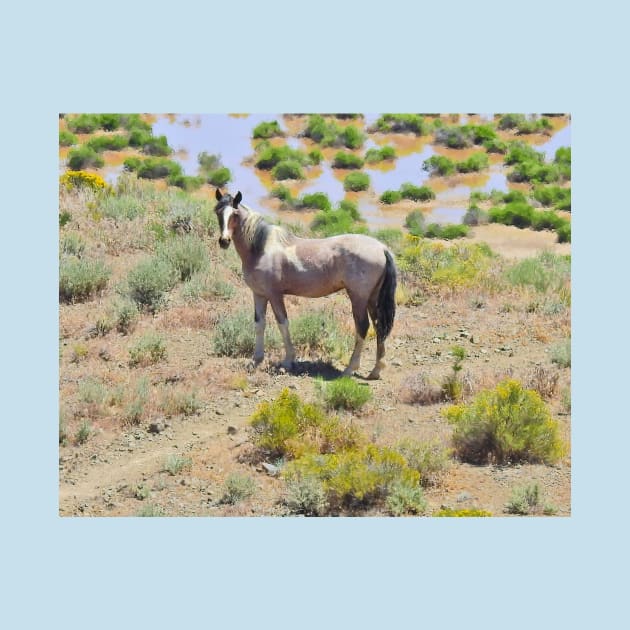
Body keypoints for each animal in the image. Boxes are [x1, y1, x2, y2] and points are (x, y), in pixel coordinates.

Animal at [215, 189, 398, 380]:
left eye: (235, 214)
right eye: (218, 212)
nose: (224, 241)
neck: (261, 248)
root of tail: (382, 248)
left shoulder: (275, 295)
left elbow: (283, 324)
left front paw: (288, 361)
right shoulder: (259, 294)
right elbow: (259, 324)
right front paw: (256, 360)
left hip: (358, 299)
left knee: (362, 328)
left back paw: (349, 370)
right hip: (372, 299)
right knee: (379, 327)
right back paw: (375, 371)